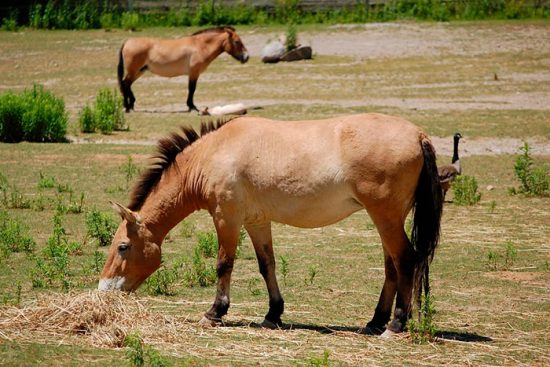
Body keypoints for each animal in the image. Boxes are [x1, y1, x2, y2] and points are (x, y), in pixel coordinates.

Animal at [99, 113, 444, 338]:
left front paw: (215, 313)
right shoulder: (257, 222)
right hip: (386, 219)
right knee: (391, 267)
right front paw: (273, 314)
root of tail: (418, 135)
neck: (214, 153)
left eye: (123, 246)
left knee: (405, 261)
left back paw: (395, 324)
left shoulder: (226, 218)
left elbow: (224, 264)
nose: (104, 291)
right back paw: (375, 321)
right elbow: (267, 265)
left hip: (385, 217)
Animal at [119, 26, 251, 113]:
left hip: (139, 71)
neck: (200, 46)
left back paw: (131, 105)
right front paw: (192, 107)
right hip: (134, 71)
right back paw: (127, 107)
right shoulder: (194, 72)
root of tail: (128, 42)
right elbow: (192, 89)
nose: (246, 57)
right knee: (125, 83)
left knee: (127, 84)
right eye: (237, 41)